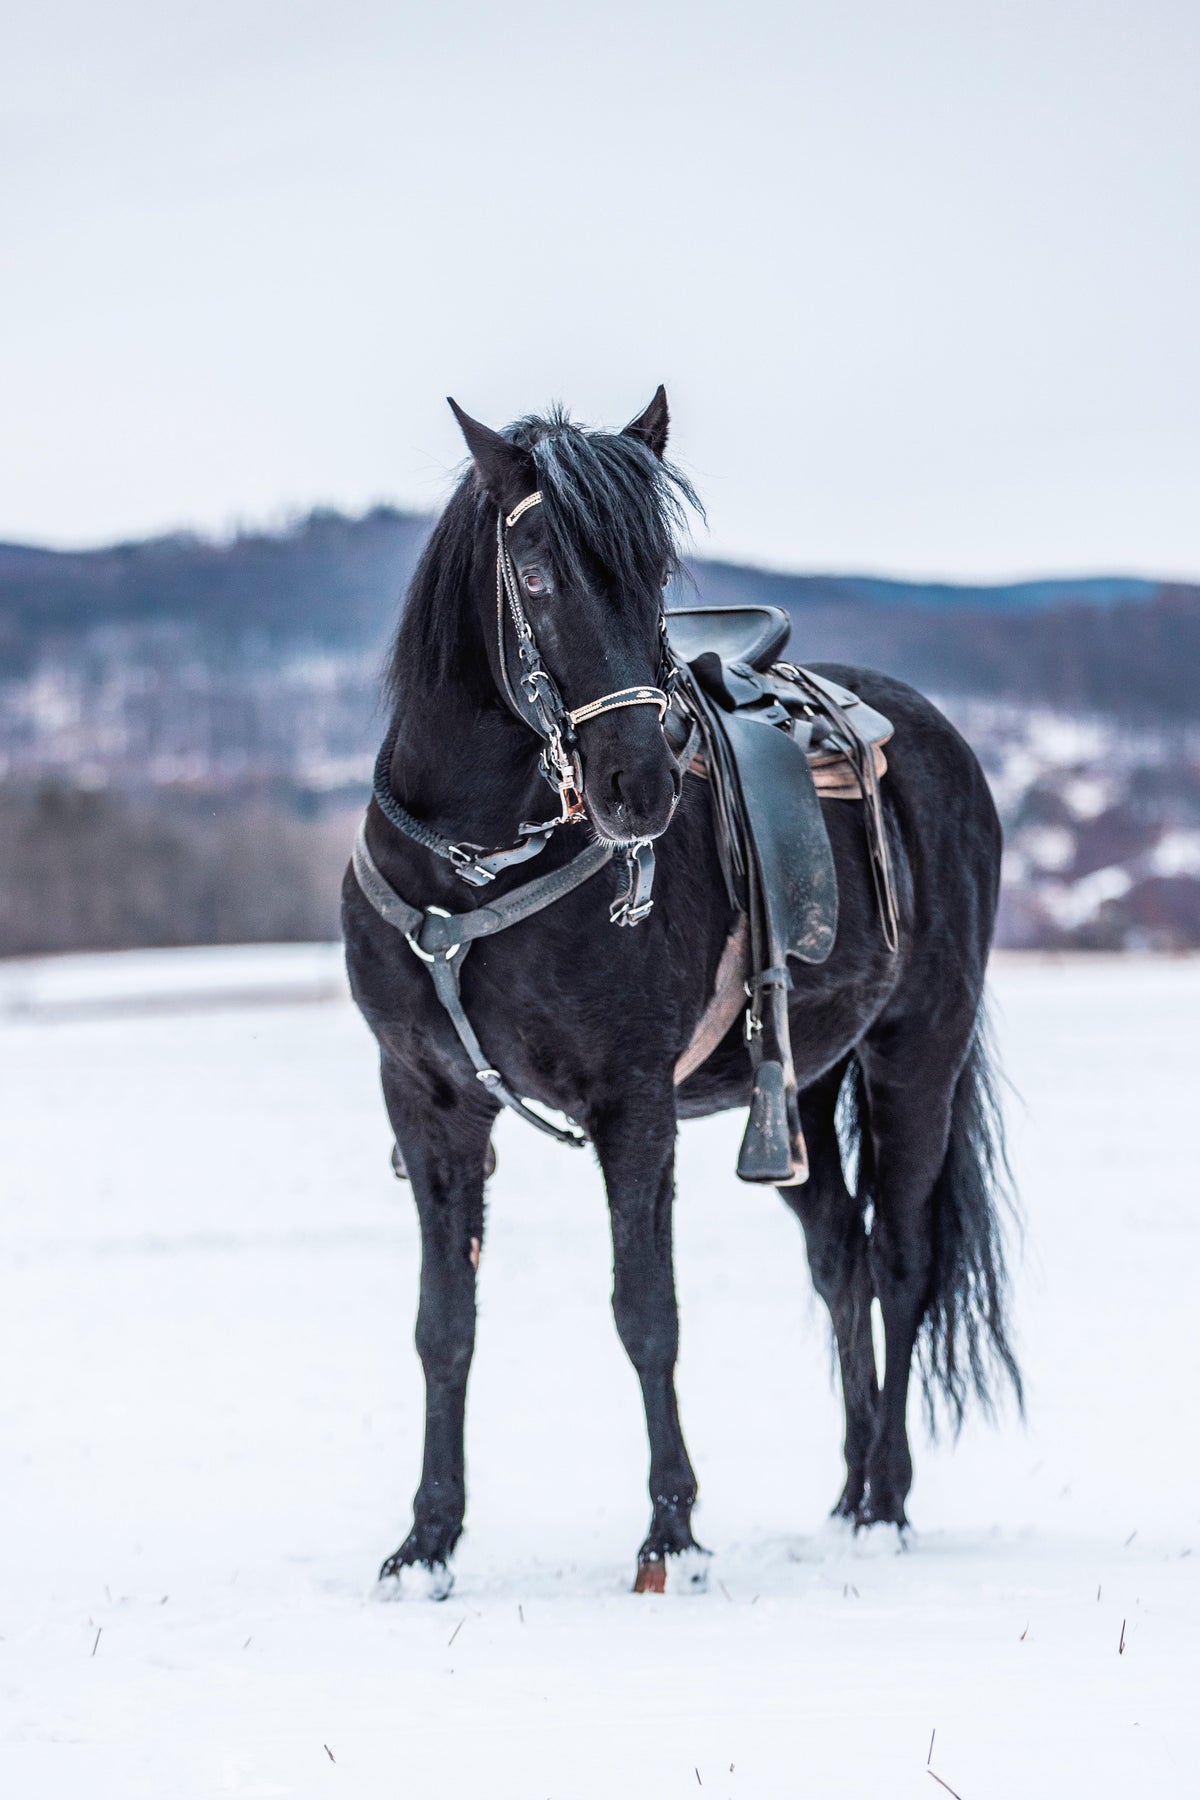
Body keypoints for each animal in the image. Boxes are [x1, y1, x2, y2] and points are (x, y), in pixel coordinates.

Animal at [342, 388, 1021, 1596]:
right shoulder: (429, 1105)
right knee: (841, 1259)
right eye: (536, 568)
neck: (469, 873)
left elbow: (644, 1312)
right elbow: (443, 1325)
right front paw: (425, 1544)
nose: (640, 785)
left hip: (916, 1057)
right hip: (800, 1091)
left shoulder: (633, 1102)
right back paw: (847, 1492)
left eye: (653, 569)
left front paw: (671, 1536)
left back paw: (886, 1504)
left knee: (900, 1264)